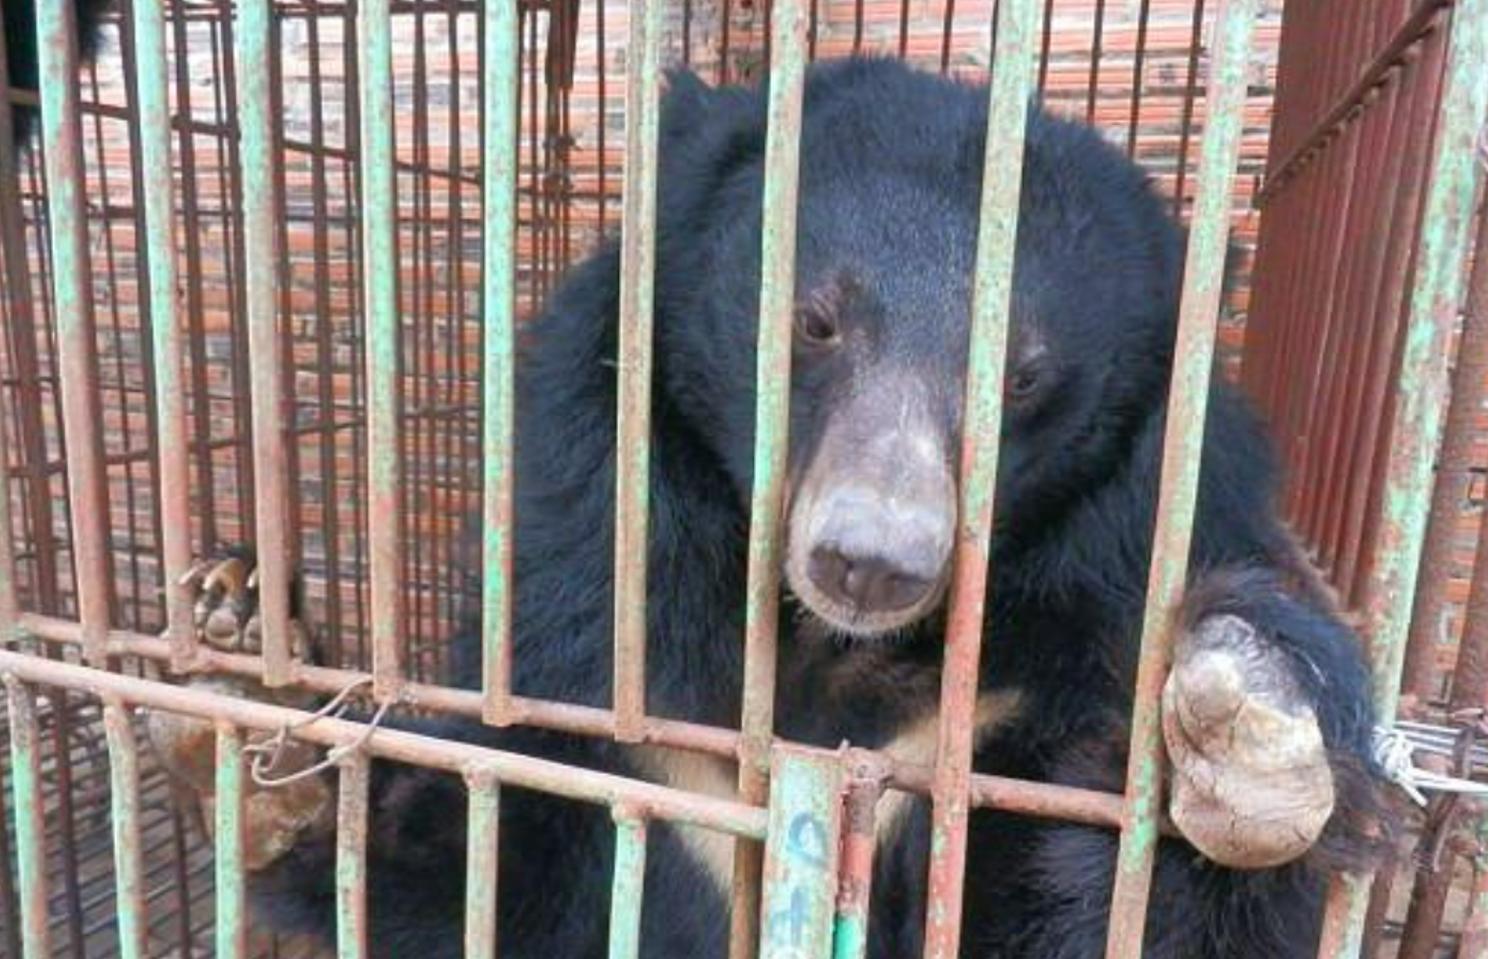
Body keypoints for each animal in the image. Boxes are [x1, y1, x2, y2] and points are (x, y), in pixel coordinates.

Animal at [4, 31, 1388, 957]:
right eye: (814, 321)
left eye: (1025, 378)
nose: (870, 557)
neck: (826, 649)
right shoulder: (598, 667)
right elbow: (487, 866)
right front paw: (255, 715)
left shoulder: (1031, 679)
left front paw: (1250, 726)